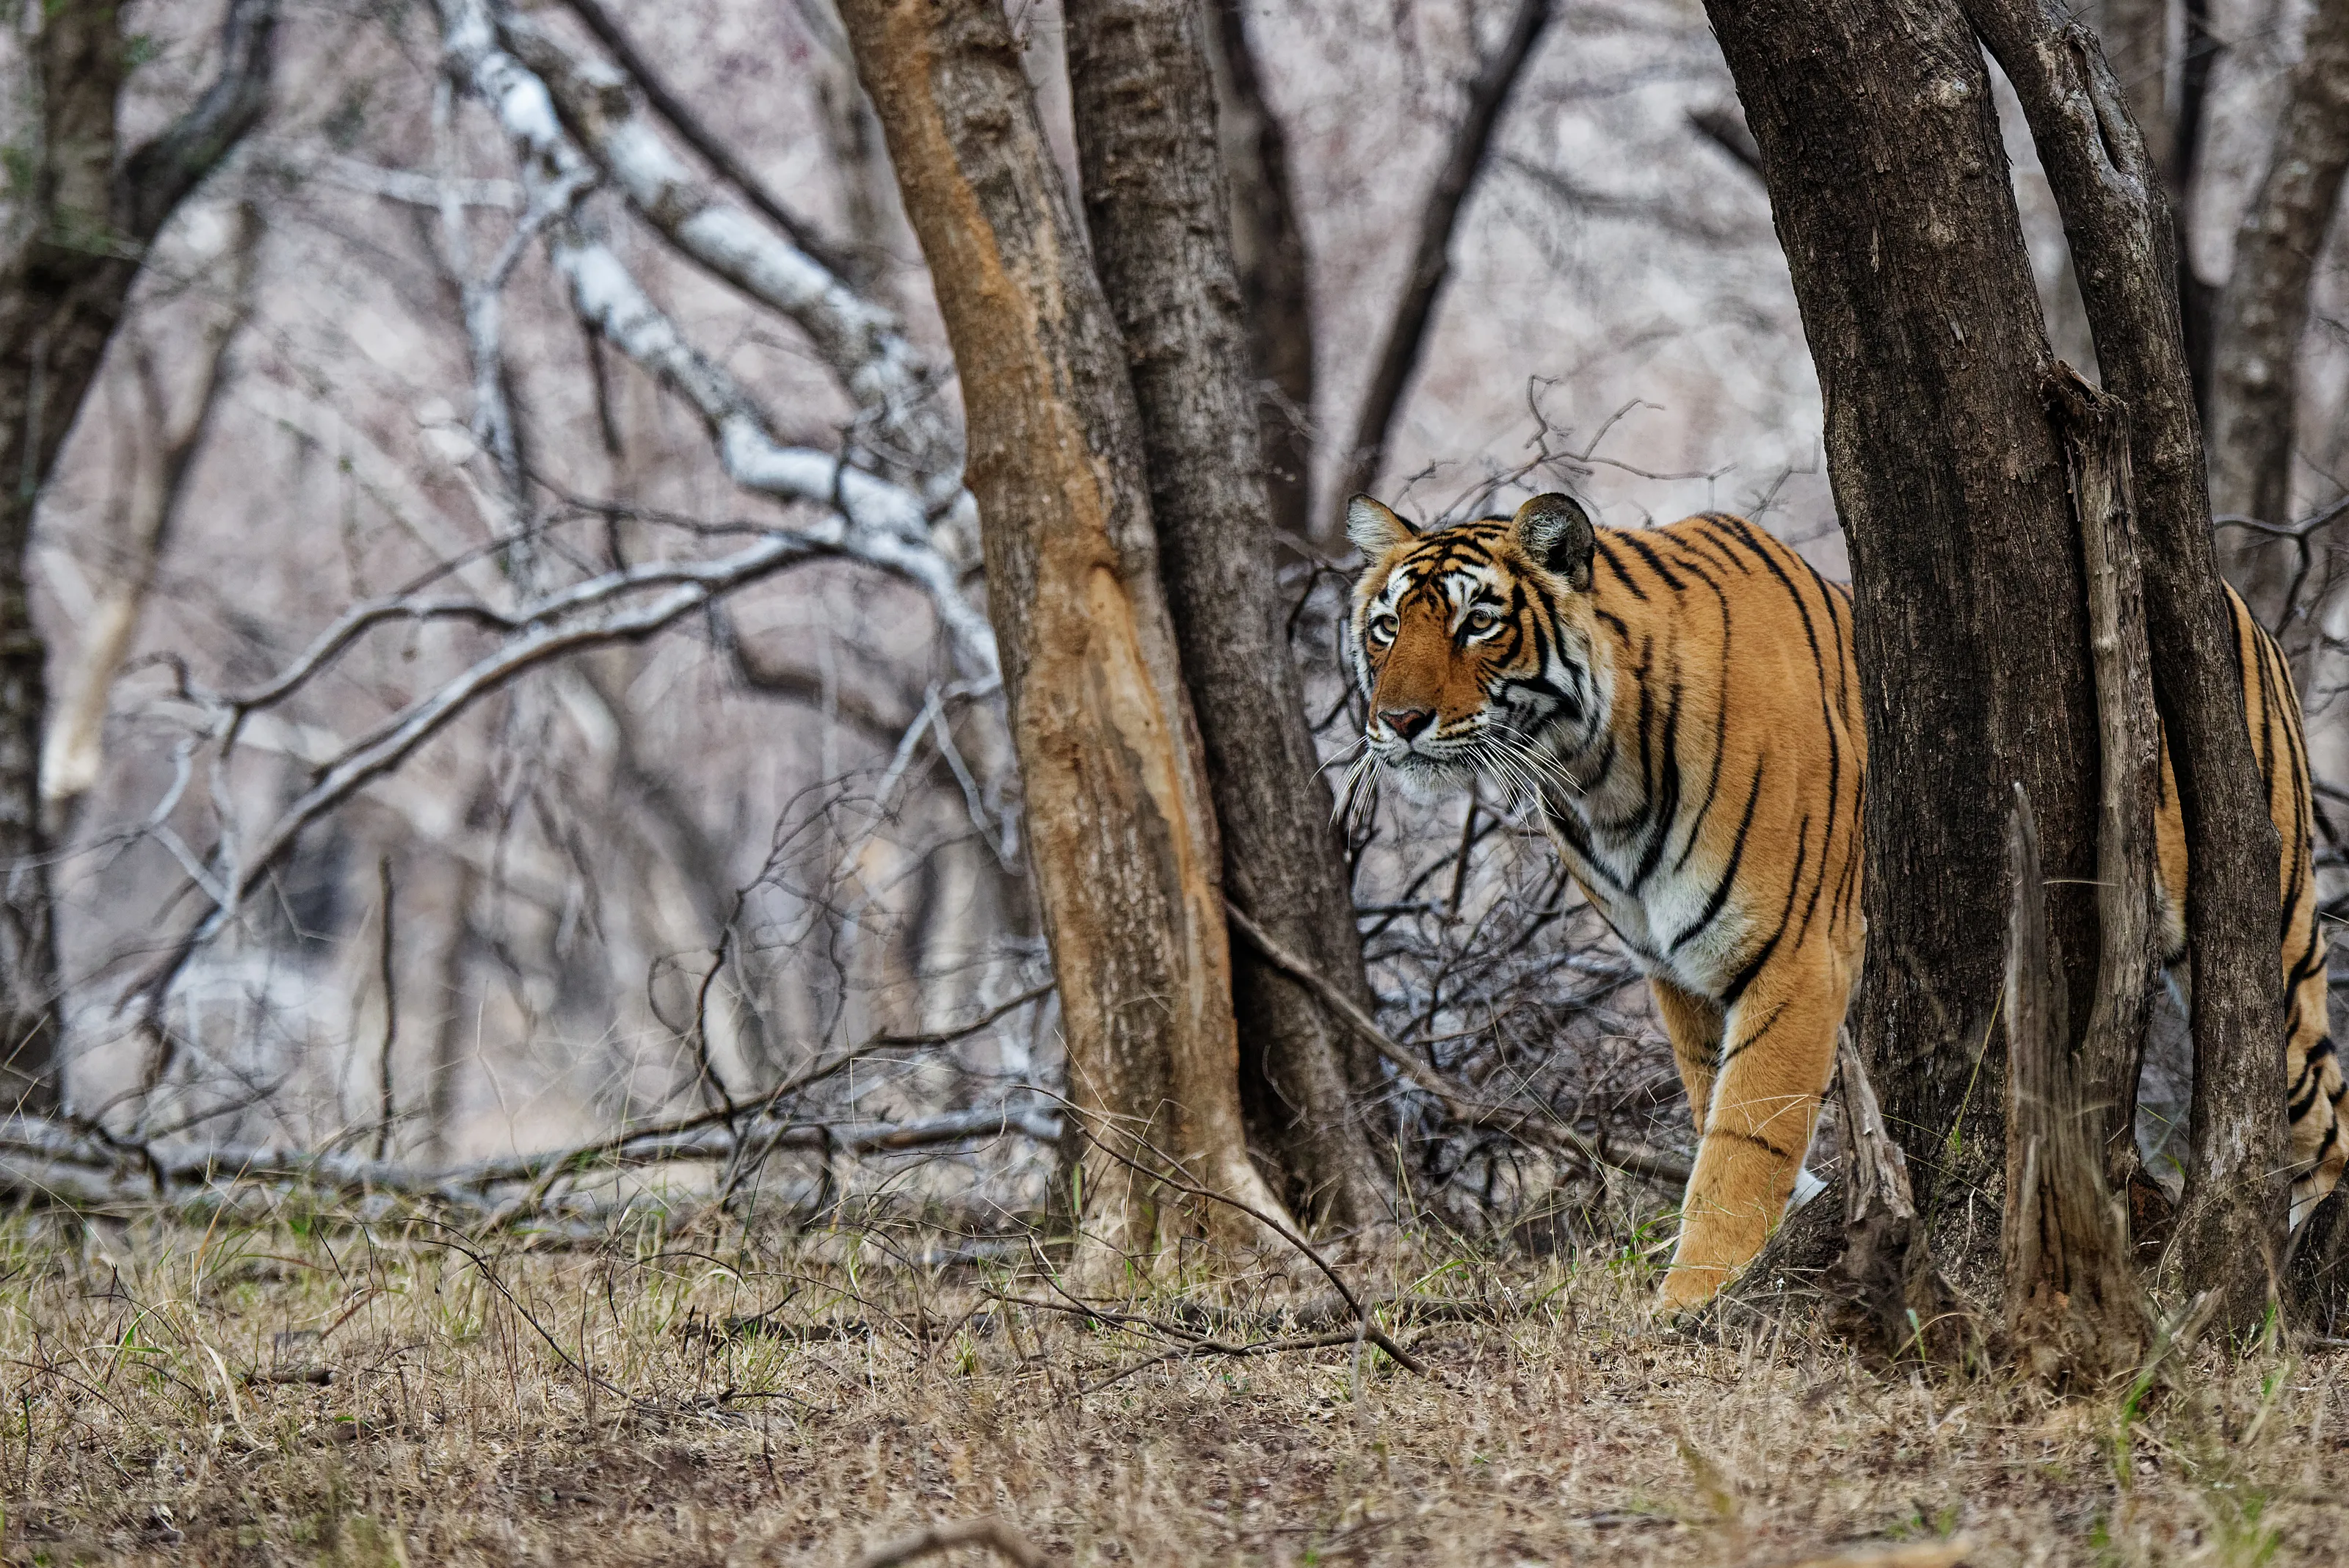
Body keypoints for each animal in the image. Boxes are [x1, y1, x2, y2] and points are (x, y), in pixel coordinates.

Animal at [1344, 491, 2343, 1309]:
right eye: (1386, 627)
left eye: (1478, 622)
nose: (1395, 723)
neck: (1594, 779)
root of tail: (2224, 596)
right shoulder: (1674, 968)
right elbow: (1713, 1103)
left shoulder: (1793, 956)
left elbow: (1741, 1142)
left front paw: (1689, 1302)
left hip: (2264, 924)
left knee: (2318, 1112)